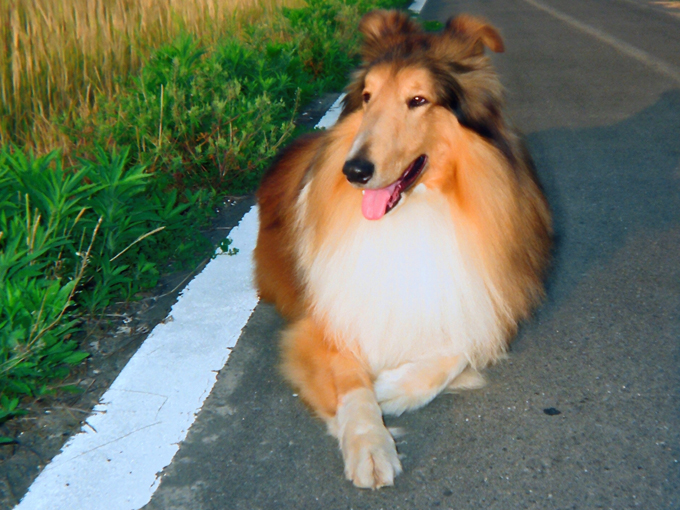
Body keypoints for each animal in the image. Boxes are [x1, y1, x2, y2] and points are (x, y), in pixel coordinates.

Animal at [254, 10, 552, 490]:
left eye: (418, 100)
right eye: (368, 97)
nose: (354, 171)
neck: (416, 211)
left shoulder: (486, 302)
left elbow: (456, 348)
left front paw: (388, 389)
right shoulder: (323, 319)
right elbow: (352, 389)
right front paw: (370, 444)